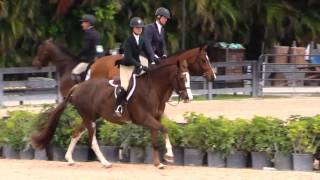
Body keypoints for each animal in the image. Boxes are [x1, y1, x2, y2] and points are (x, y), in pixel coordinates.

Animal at [32, 57, 191, 169]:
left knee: (76, 133)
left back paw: (70, 159)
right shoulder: (144, 118)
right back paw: (106, 163)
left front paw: (158, 163)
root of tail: (77, 87)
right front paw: (169, 156)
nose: (188, 97)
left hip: (89, 117)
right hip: (90, 119)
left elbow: (155, 138)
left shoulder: (154, 118)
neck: (152, 89)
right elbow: (164, 129)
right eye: (182, 78)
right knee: (92, 141)